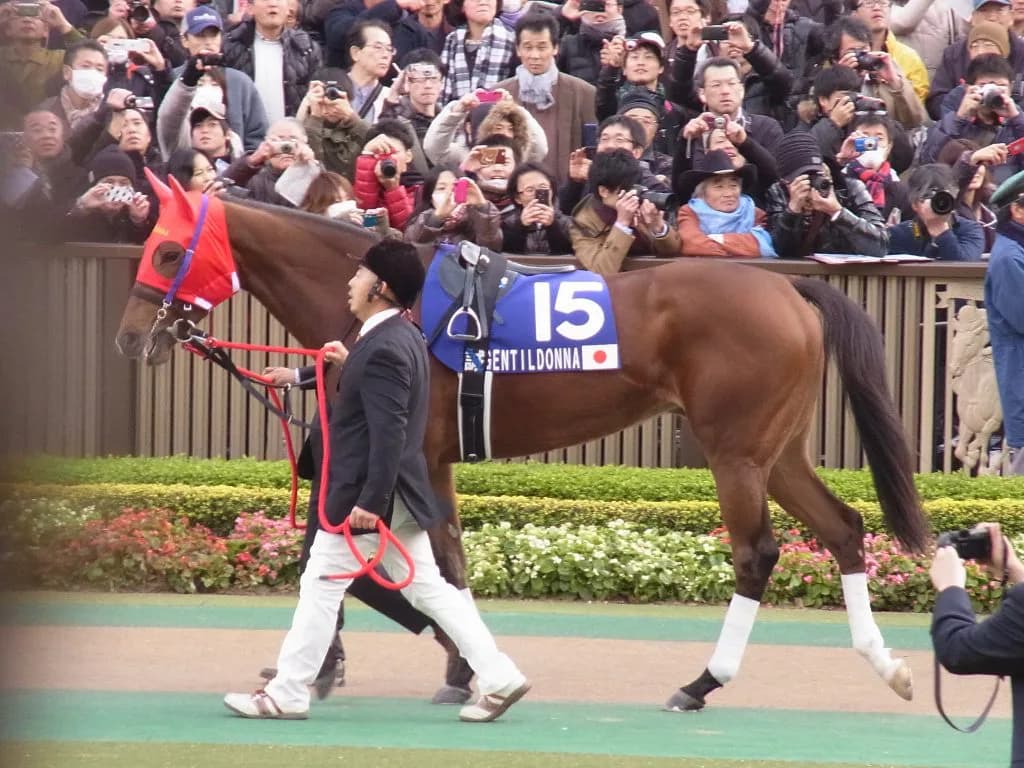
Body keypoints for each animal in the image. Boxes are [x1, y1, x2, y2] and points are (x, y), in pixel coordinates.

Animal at [115, 174, 929, 711]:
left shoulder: (407, 454)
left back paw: (701, 683)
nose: (129, 337)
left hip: (735, 454)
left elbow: (400, 558)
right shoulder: (430, 460)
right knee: (842, 528)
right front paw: (460, 668)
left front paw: (440, 668)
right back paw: (886, 664)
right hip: (778, 451)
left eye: (165, 253)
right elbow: (442, 562)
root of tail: (790, 287)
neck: (396, 308)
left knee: (757, 554)